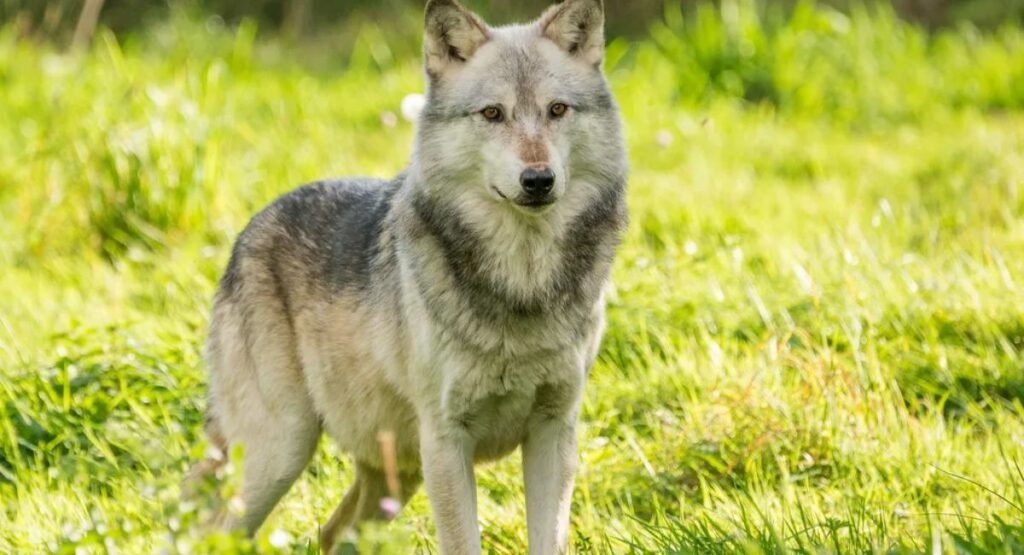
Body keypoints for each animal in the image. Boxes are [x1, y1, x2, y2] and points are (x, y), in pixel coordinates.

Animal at [190, 0, 627, 553]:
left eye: (557, 110)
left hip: (391, 477)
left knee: (329, 532)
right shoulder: (445, 441)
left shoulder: (554, 434)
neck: (521, 284)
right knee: (214, 529)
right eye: (492, 113)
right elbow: (463, 543)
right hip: (282, 453)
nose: (538, 180)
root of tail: (246, 231)